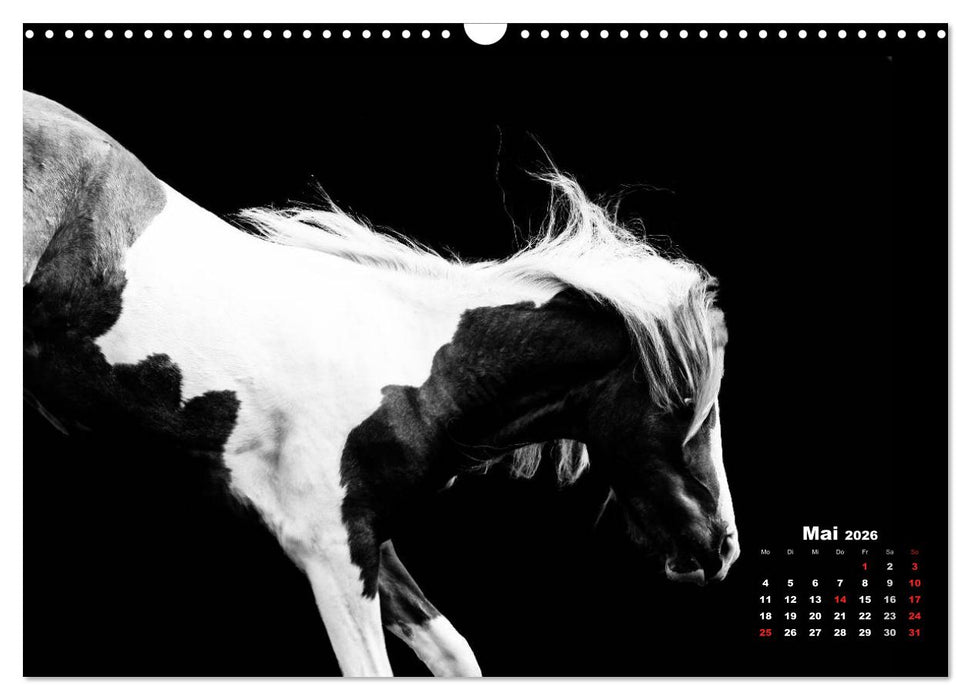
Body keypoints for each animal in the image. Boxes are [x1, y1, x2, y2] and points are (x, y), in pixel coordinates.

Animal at [23, 91, 740, 677]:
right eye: (686, 403)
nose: (720, 548)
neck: (415, 370)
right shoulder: (329, 548)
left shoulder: (370, 537)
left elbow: (455, 654)